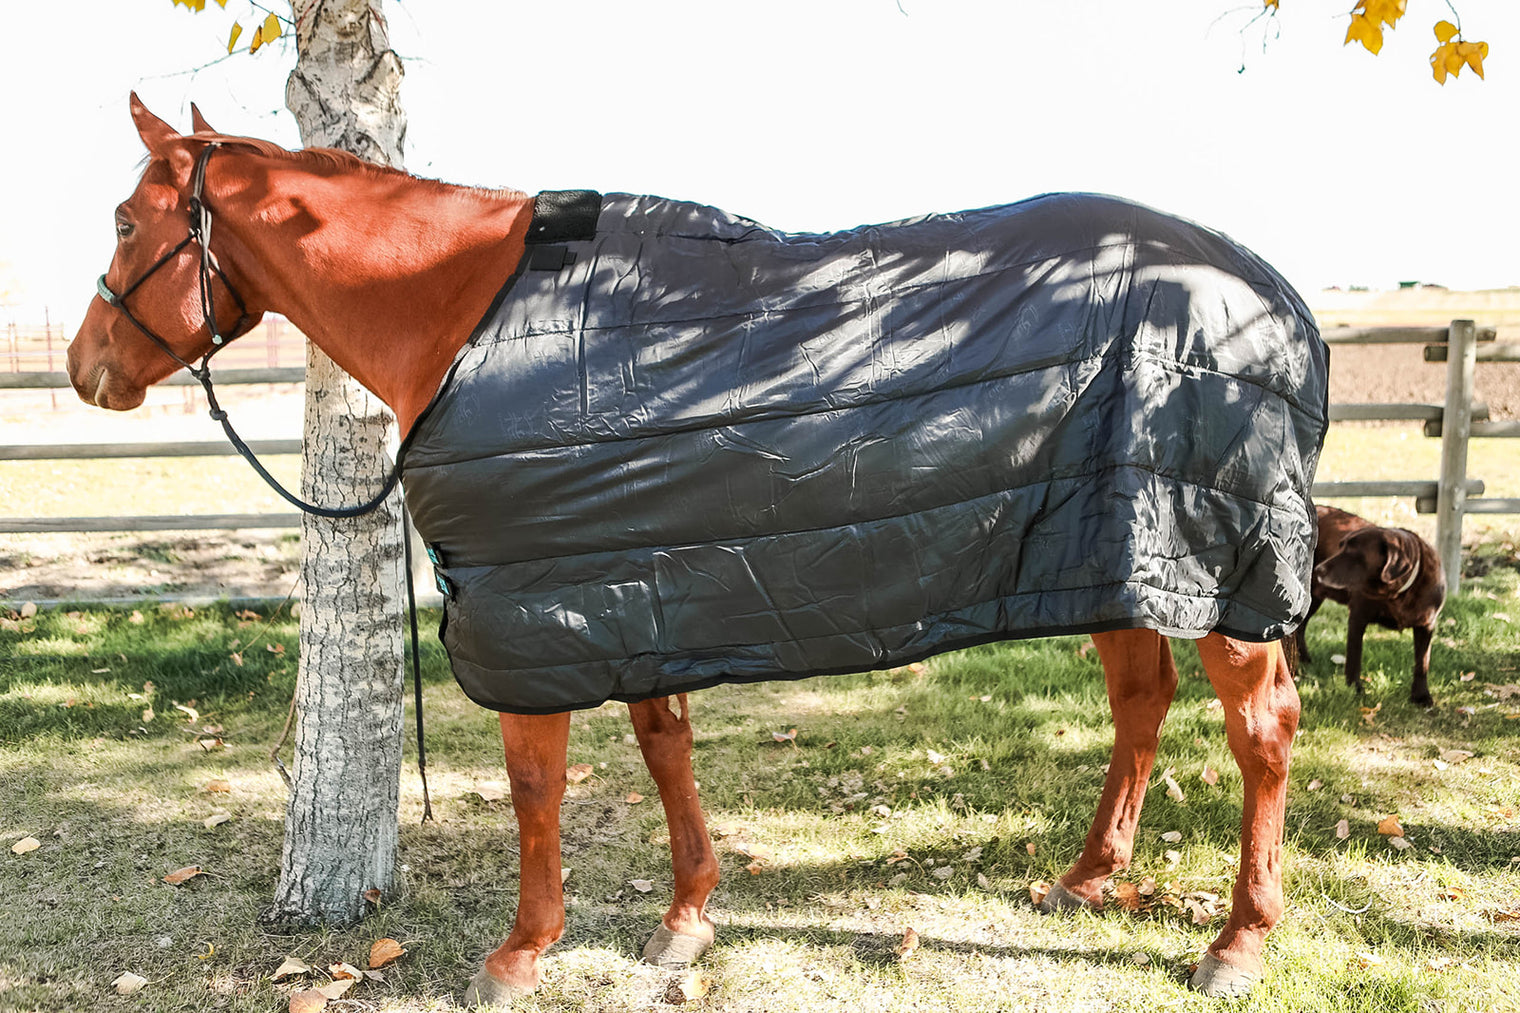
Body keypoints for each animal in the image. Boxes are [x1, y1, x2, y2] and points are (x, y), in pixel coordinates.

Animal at [69, 94, 1325, 1003]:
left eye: (126, 223)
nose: (88, 370)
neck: (464, 311)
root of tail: (1277, 302)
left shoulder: (537, 613)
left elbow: (535, 786)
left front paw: (521, 951)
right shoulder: (626, 584)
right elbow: (664, 745)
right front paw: (685, 920)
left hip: (1223, 572)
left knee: (1260, 730)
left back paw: (1236, 941)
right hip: (1118, 554)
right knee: (1138, 698)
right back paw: (1085, 878)